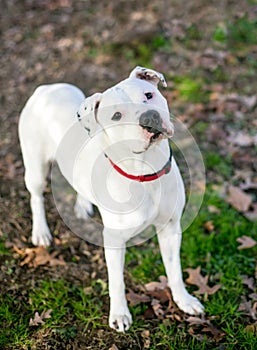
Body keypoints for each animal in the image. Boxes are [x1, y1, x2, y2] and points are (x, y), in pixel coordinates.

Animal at [18, 67, 203, 332]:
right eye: (116, 115)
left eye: (149, 95)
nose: (149, 117)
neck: (145, 172)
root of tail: (46, 88)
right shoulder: (114, 241)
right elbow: (116, 281)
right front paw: (119, 315)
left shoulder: (170, 228)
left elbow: (174, 269)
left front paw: (184, 300)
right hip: (34, 166)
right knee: (35, 197)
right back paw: (41, 231)